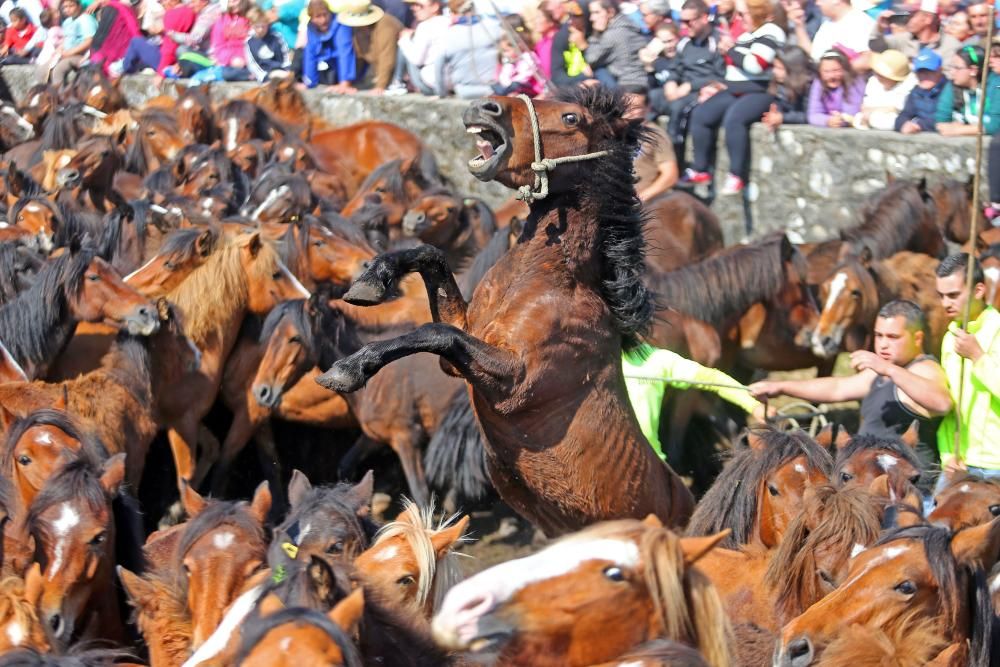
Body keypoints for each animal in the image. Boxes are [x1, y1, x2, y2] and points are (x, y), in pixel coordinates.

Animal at [318, 88, 696, 536]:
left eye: (571, 118)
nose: (485, 107)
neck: (545, 277)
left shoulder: (518, 380)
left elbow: (434, 333)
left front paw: (348, 368)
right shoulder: (465, 348)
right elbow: (431, 262)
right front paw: (372, 281)